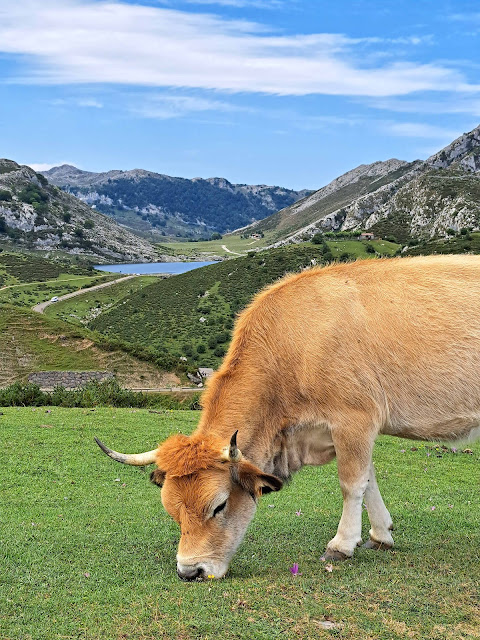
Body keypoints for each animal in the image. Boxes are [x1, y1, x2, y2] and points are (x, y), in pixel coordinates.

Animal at [95, 255, 480, 580]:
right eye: (172, 512)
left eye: (219, 506)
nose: (190, 572)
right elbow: (369, 481)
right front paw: (381, 534)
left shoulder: (354, 418)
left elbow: (352, 483)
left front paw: (341, 545)